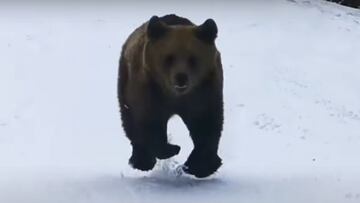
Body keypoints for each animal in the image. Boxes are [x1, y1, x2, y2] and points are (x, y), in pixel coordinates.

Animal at [118, 14, 224, 178]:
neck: (175, 95)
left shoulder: (203, 92)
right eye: (169, 57)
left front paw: (198, 166)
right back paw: (142, 160)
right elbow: (149, 122)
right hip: (125, 79)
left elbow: (205, 123)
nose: (181, 77)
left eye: (193, 58)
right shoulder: (149, 90)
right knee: (129, 119)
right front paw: (172, 148)